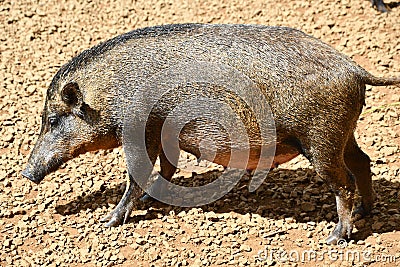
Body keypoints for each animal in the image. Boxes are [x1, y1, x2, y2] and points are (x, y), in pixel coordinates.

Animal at [22, 23, 400, 245]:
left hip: (321, 137)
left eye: (53, 120)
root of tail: (354, 69)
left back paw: (335, 237)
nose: (26, 172)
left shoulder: (138, 128)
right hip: (344, 133)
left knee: (343, 183)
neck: (110, 93)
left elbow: (136, 174)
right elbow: (166, 167)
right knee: (363, 162)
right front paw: (150, 200)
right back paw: (366, 211)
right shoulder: (161, 131)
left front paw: (108, 221)